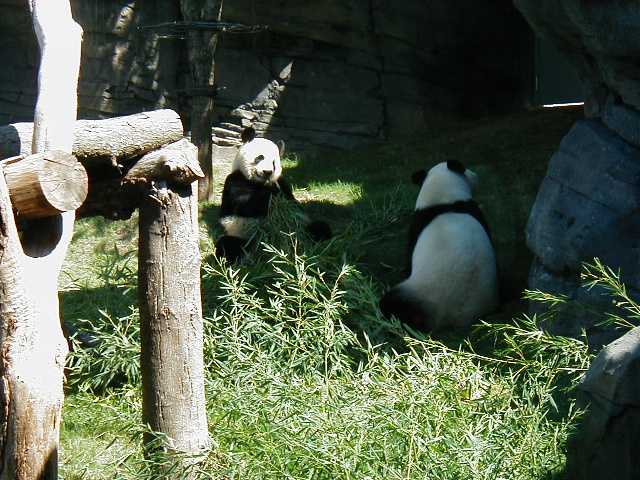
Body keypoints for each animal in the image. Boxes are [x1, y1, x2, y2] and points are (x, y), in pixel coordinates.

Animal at [215, 127, 332, 262]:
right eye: (260, 157)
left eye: (274, 163)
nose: (267, 172)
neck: (260, 183)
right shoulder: (236, 180)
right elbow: (243, 204)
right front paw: (272, 198)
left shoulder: (282, 183)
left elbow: (293, 203)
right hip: (241, 233)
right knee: (229, 245)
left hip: (302, 228)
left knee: (319, 228)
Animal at [379, 159, 498, 332]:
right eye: (467, 169)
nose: (476, 175)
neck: (446, 203)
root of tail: (452, 318)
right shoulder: (475, 212)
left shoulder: (418, 224)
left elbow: (409, 255)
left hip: (418, 292)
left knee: (391, 303)